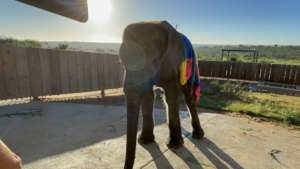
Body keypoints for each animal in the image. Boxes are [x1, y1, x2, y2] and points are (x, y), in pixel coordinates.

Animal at [119, 20, 204, 168]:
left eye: (153, 60)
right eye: (121, 59)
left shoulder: (173, 62)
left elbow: (171, 93)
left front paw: (174, 145)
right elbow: (148, 96)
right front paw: (145, 141)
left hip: (192, 65)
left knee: (187, 96)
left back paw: (197, 135)